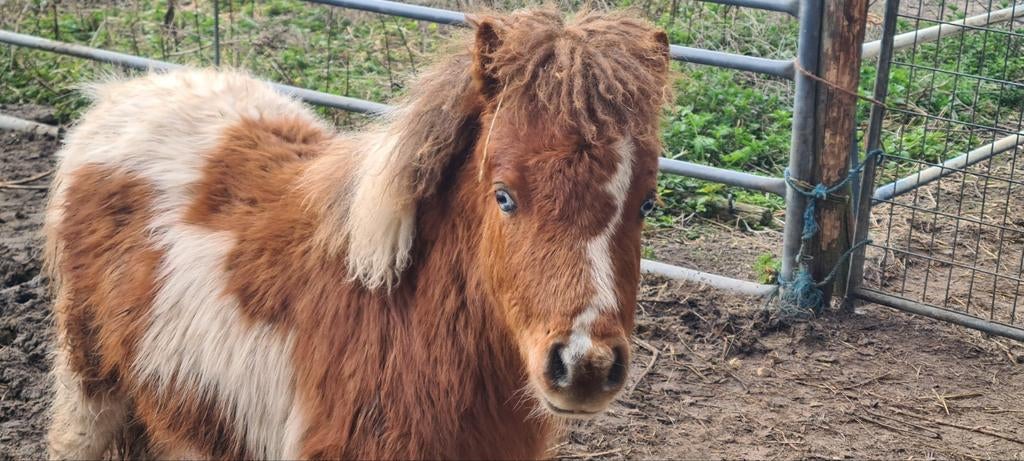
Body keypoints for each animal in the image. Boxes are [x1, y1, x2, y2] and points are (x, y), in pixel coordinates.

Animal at [43, 7, 671, 459]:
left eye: (645, 202)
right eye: (504, 196)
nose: (586, 367)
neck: (400, 318)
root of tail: (124, 95)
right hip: (89, 380)